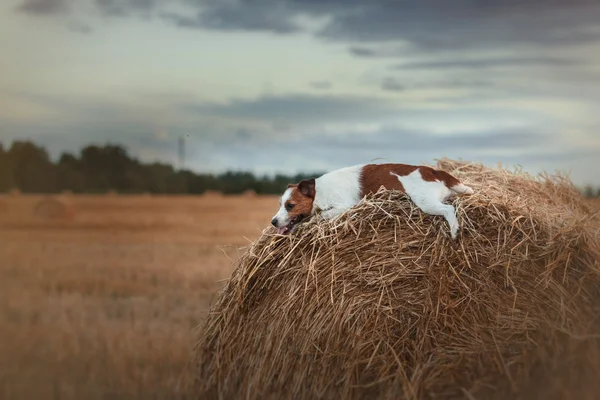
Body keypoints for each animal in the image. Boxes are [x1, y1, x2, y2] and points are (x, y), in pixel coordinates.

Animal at [270, 162, 474, 238]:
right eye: (280, 205)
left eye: (290, 206)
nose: (273, 222)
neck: (319, 192)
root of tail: (433, 171)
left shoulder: (345, 206)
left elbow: (320, 216)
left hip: (426, 203)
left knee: (448, 210)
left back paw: (454, 229)